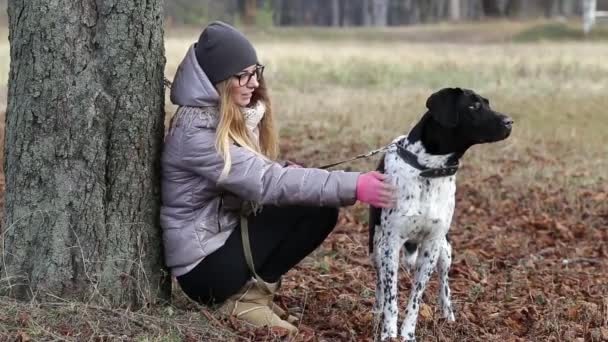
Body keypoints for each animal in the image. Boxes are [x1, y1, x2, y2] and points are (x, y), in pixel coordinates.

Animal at [370, 87, 512, 340]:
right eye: (473, 106)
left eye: (487, 103)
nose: (510, 122)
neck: (428, 169)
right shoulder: (390, 244)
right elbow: (391, 297)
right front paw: (388, 332)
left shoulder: (431, 245)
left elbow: (416, 299)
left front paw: (408, 334)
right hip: (377, 247)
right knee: (380, 284)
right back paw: (377, 310)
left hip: (445, 251)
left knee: (444, 284)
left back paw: (449, 317)